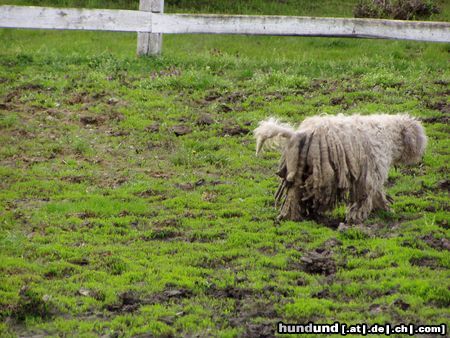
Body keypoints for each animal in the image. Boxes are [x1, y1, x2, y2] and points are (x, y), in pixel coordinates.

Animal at [255, 114, 428, 224]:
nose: (420, 154)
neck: (387, 134)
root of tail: (300, 134)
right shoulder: (371, 173)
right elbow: (369, 195)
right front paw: (360, 216)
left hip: (297, 172)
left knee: (294, 196)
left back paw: (294, 216)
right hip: (322, 172)